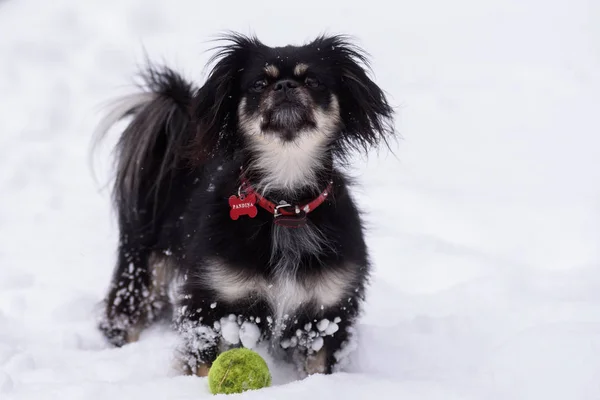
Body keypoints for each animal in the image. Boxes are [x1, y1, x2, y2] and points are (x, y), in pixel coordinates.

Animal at [96, 32, 396, 376]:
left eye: (313, 81)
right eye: (258, 84)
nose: (285, 85)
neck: (285, 204)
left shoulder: (326, 312)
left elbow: (319, 367)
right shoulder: (212, 302)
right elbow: (205, 363)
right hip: (144, 260)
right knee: (128, 307)